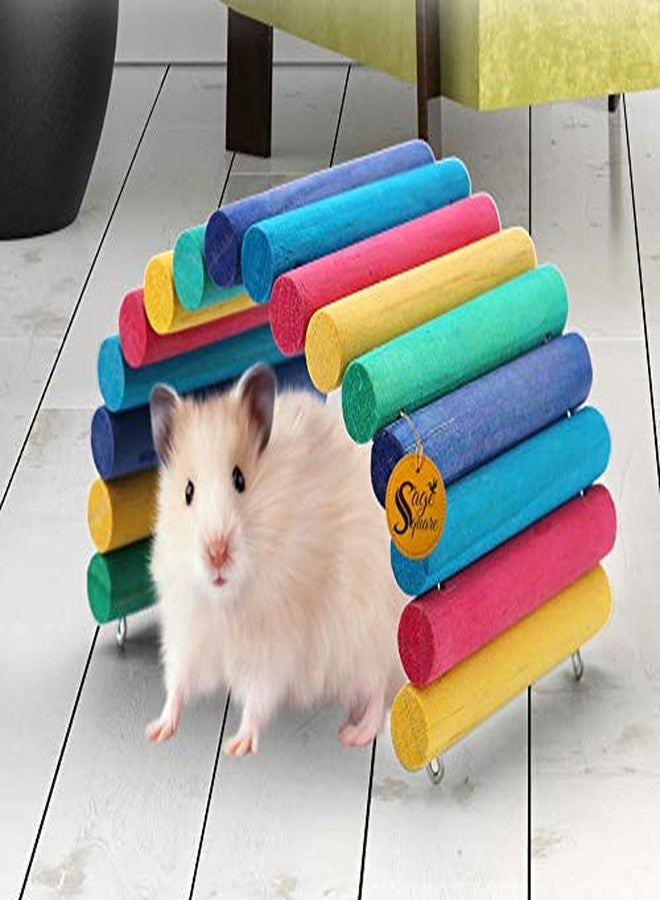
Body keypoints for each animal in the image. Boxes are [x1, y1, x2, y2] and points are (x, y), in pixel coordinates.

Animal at [146, 364, 407, 756]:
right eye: (188, 491)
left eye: (240, 479)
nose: (216, 553)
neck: (227, 601)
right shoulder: (188, 627)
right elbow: (177, 681)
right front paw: (157, 730)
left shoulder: (275, 644)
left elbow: (257, 695)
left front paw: (237, 746)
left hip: (367, 634)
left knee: (376, 687)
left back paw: (353, 733)